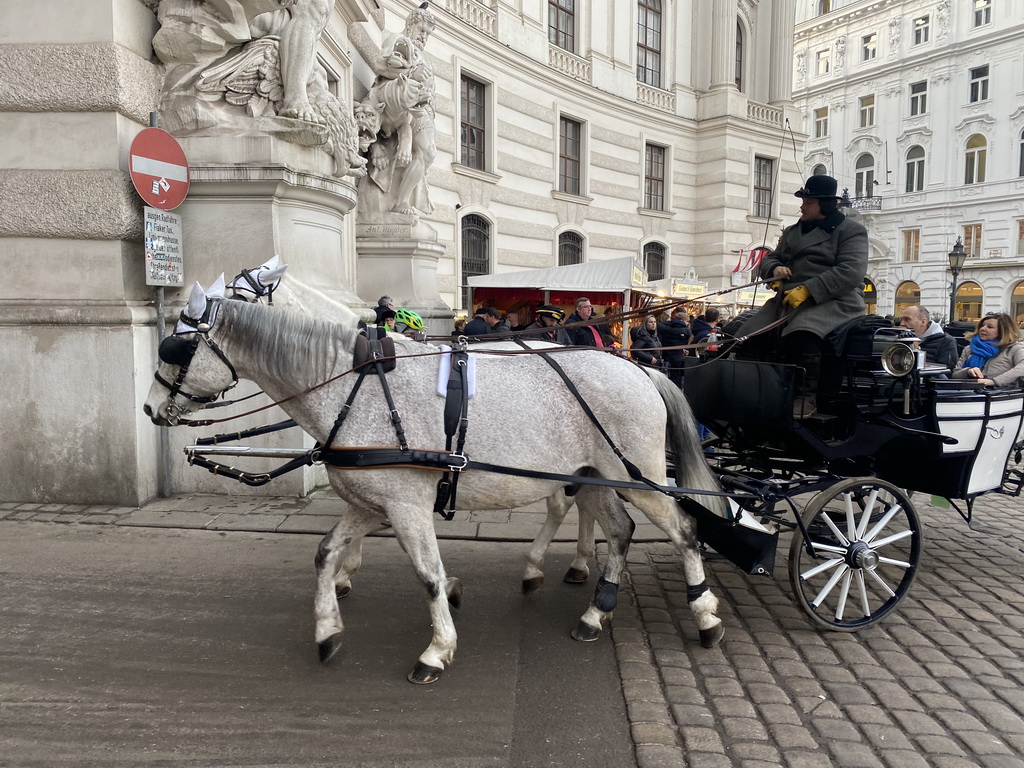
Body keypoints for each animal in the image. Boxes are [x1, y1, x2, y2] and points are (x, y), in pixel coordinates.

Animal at [226, 262, 598, 593]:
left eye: (238, 296)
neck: (362, 365)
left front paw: (348, 571)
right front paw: (346, 571)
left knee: (569, 502)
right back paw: (574, 562)